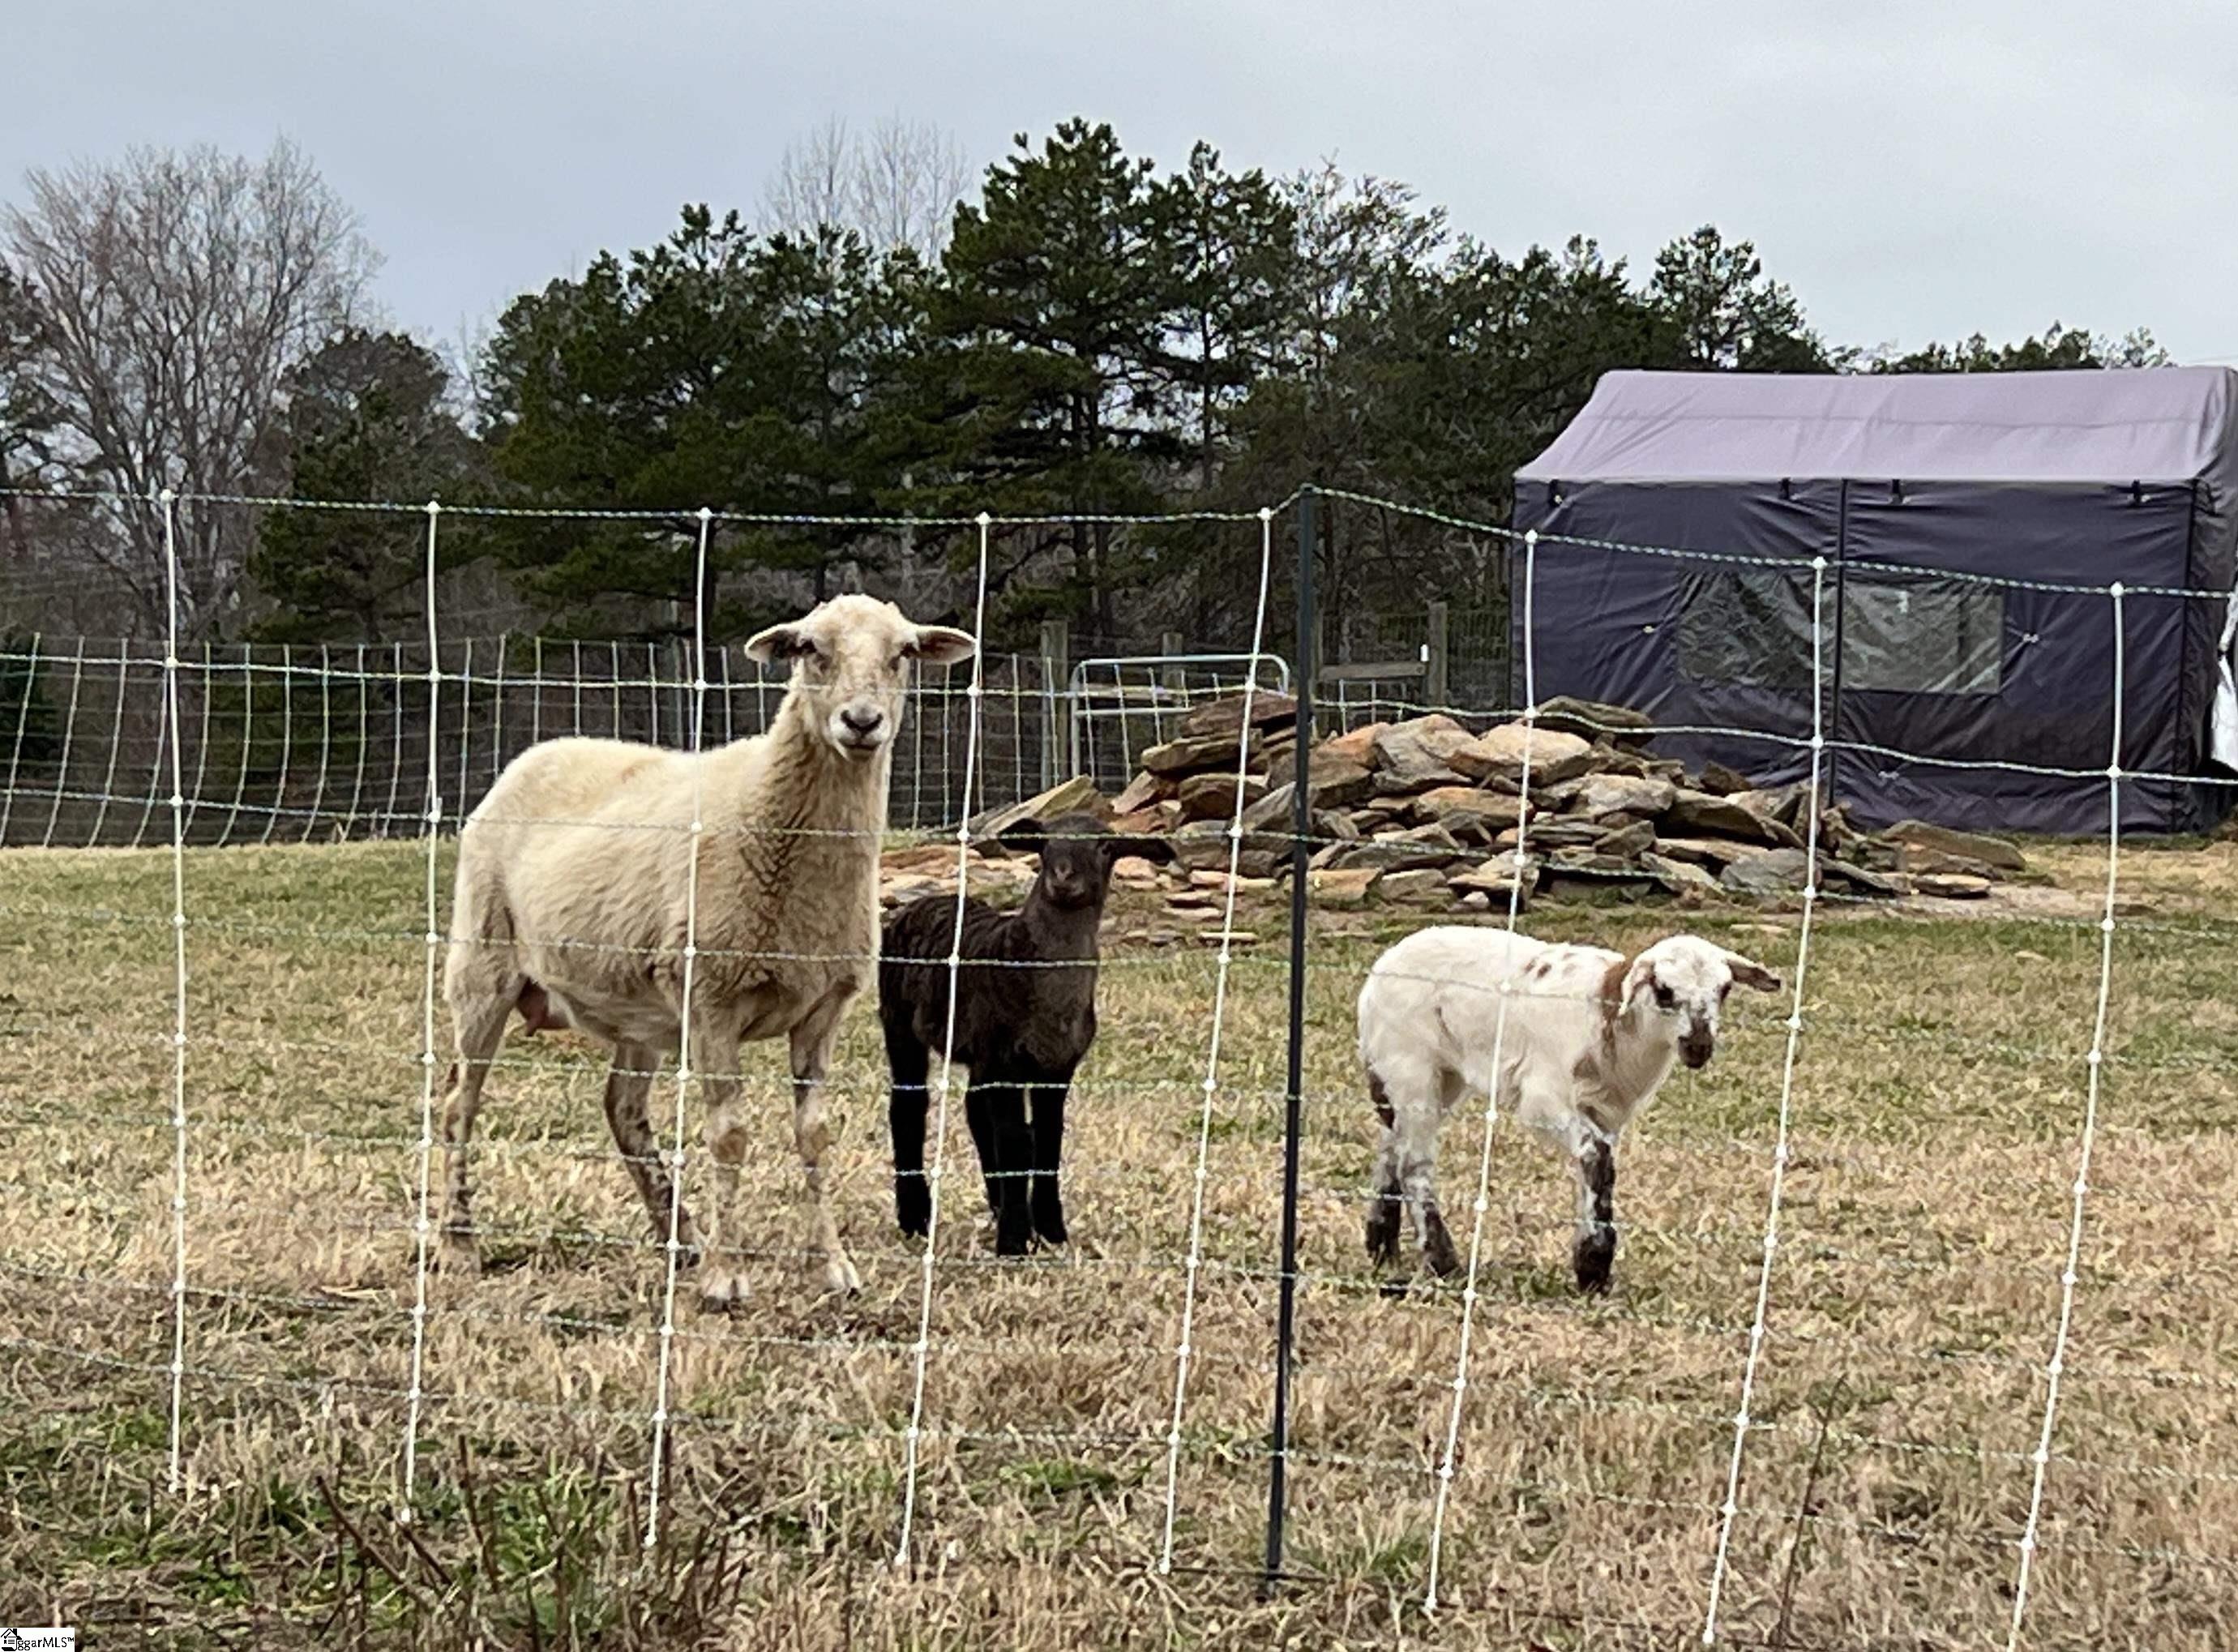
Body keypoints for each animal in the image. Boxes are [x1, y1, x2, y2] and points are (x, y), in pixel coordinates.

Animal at [434, 594, 976, 1304]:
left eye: (904, 652)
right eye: (809, 649)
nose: (862, 722)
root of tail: (533, 755)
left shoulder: (822, 1009)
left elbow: (814, 1136)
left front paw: (832, 1267)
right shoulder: (715, 999)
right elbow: (729, 1136)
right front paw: (727, 1275)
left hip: (638, 1003)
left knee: (622, 1109)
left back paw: (680, 1236)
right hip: (482, 963)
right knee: (458, 1103)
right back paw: (457, 1243)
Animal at [880, 812, 1174, 1255]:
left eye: (1106, 846)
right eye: (1045, 843)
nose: (1063, 877)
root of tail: (920, 903)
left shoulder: (1057, 1065)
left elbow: (1048, 1140)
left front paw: (1051, 1230)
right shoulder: (1005, 1059)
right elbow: (1019, 1142)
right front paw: (1015, 1241)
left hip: (980, 1052)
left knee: (975, 1111)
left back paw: (994, 1204)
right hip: (899, 1021)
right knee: (908, 1108)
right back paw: (916, 1216)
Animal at [1356, 928, 1781, 1294]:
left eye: (1725, 989)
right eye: (1664, 990)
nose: (1698, 1046)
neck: (1610, 1017)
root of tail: (1380, 969)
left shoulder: (1608, 1111)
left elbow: (1598, 1168)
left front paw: (1590, 1266)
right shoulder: (1544, 1096)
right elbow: (1596, 1157)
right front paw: (1594, 1262)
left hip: (1432, 1076)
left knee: (1391, 1145)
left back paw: (1383, 1247)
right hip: (1411, 1062)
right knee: (1414, 1164)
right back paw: (1443, 1262)